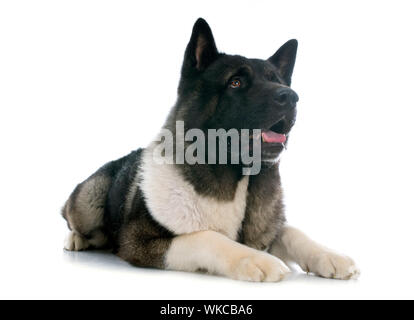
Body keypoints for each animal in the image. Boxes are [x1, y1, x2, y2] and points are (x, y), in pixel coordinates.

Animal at [61, 18, 360, 282]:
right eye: (235, 82)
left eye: (279, 82)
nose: (290, 96)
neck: (235, 177)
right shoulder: (139, 242)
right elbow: (206, 236)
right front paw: (254, 258)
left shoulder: (269, 229)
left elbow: (290, 232)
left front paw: (328, 254)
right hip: (90, 196)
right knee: (74, 218)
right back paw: (76, 238)